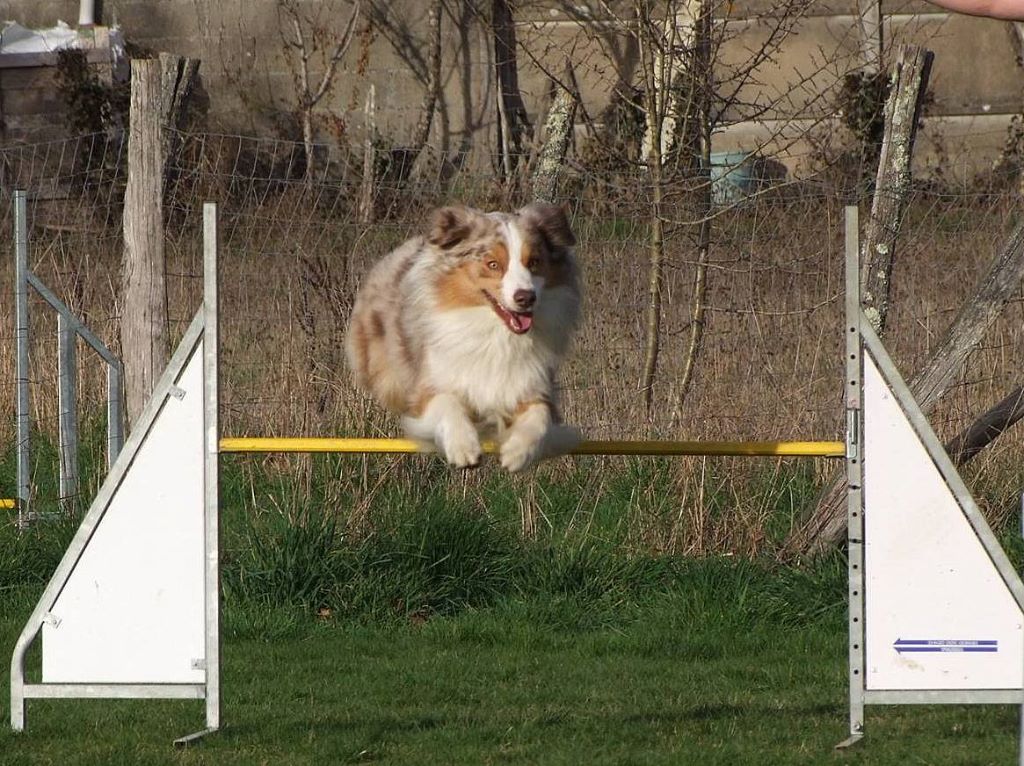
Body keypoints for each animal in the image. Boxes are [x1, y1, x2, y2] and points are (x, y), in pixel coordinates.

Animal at [346, 201, 581, 473]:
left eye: (534, 261)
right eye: (493, 264)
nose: (526, 297)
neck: (496, 334)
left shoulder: (533, 385)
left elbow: (540, 417)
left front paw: (517, 451)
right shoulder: (431, 384)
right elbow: (448, 403)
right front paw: (463, 447)